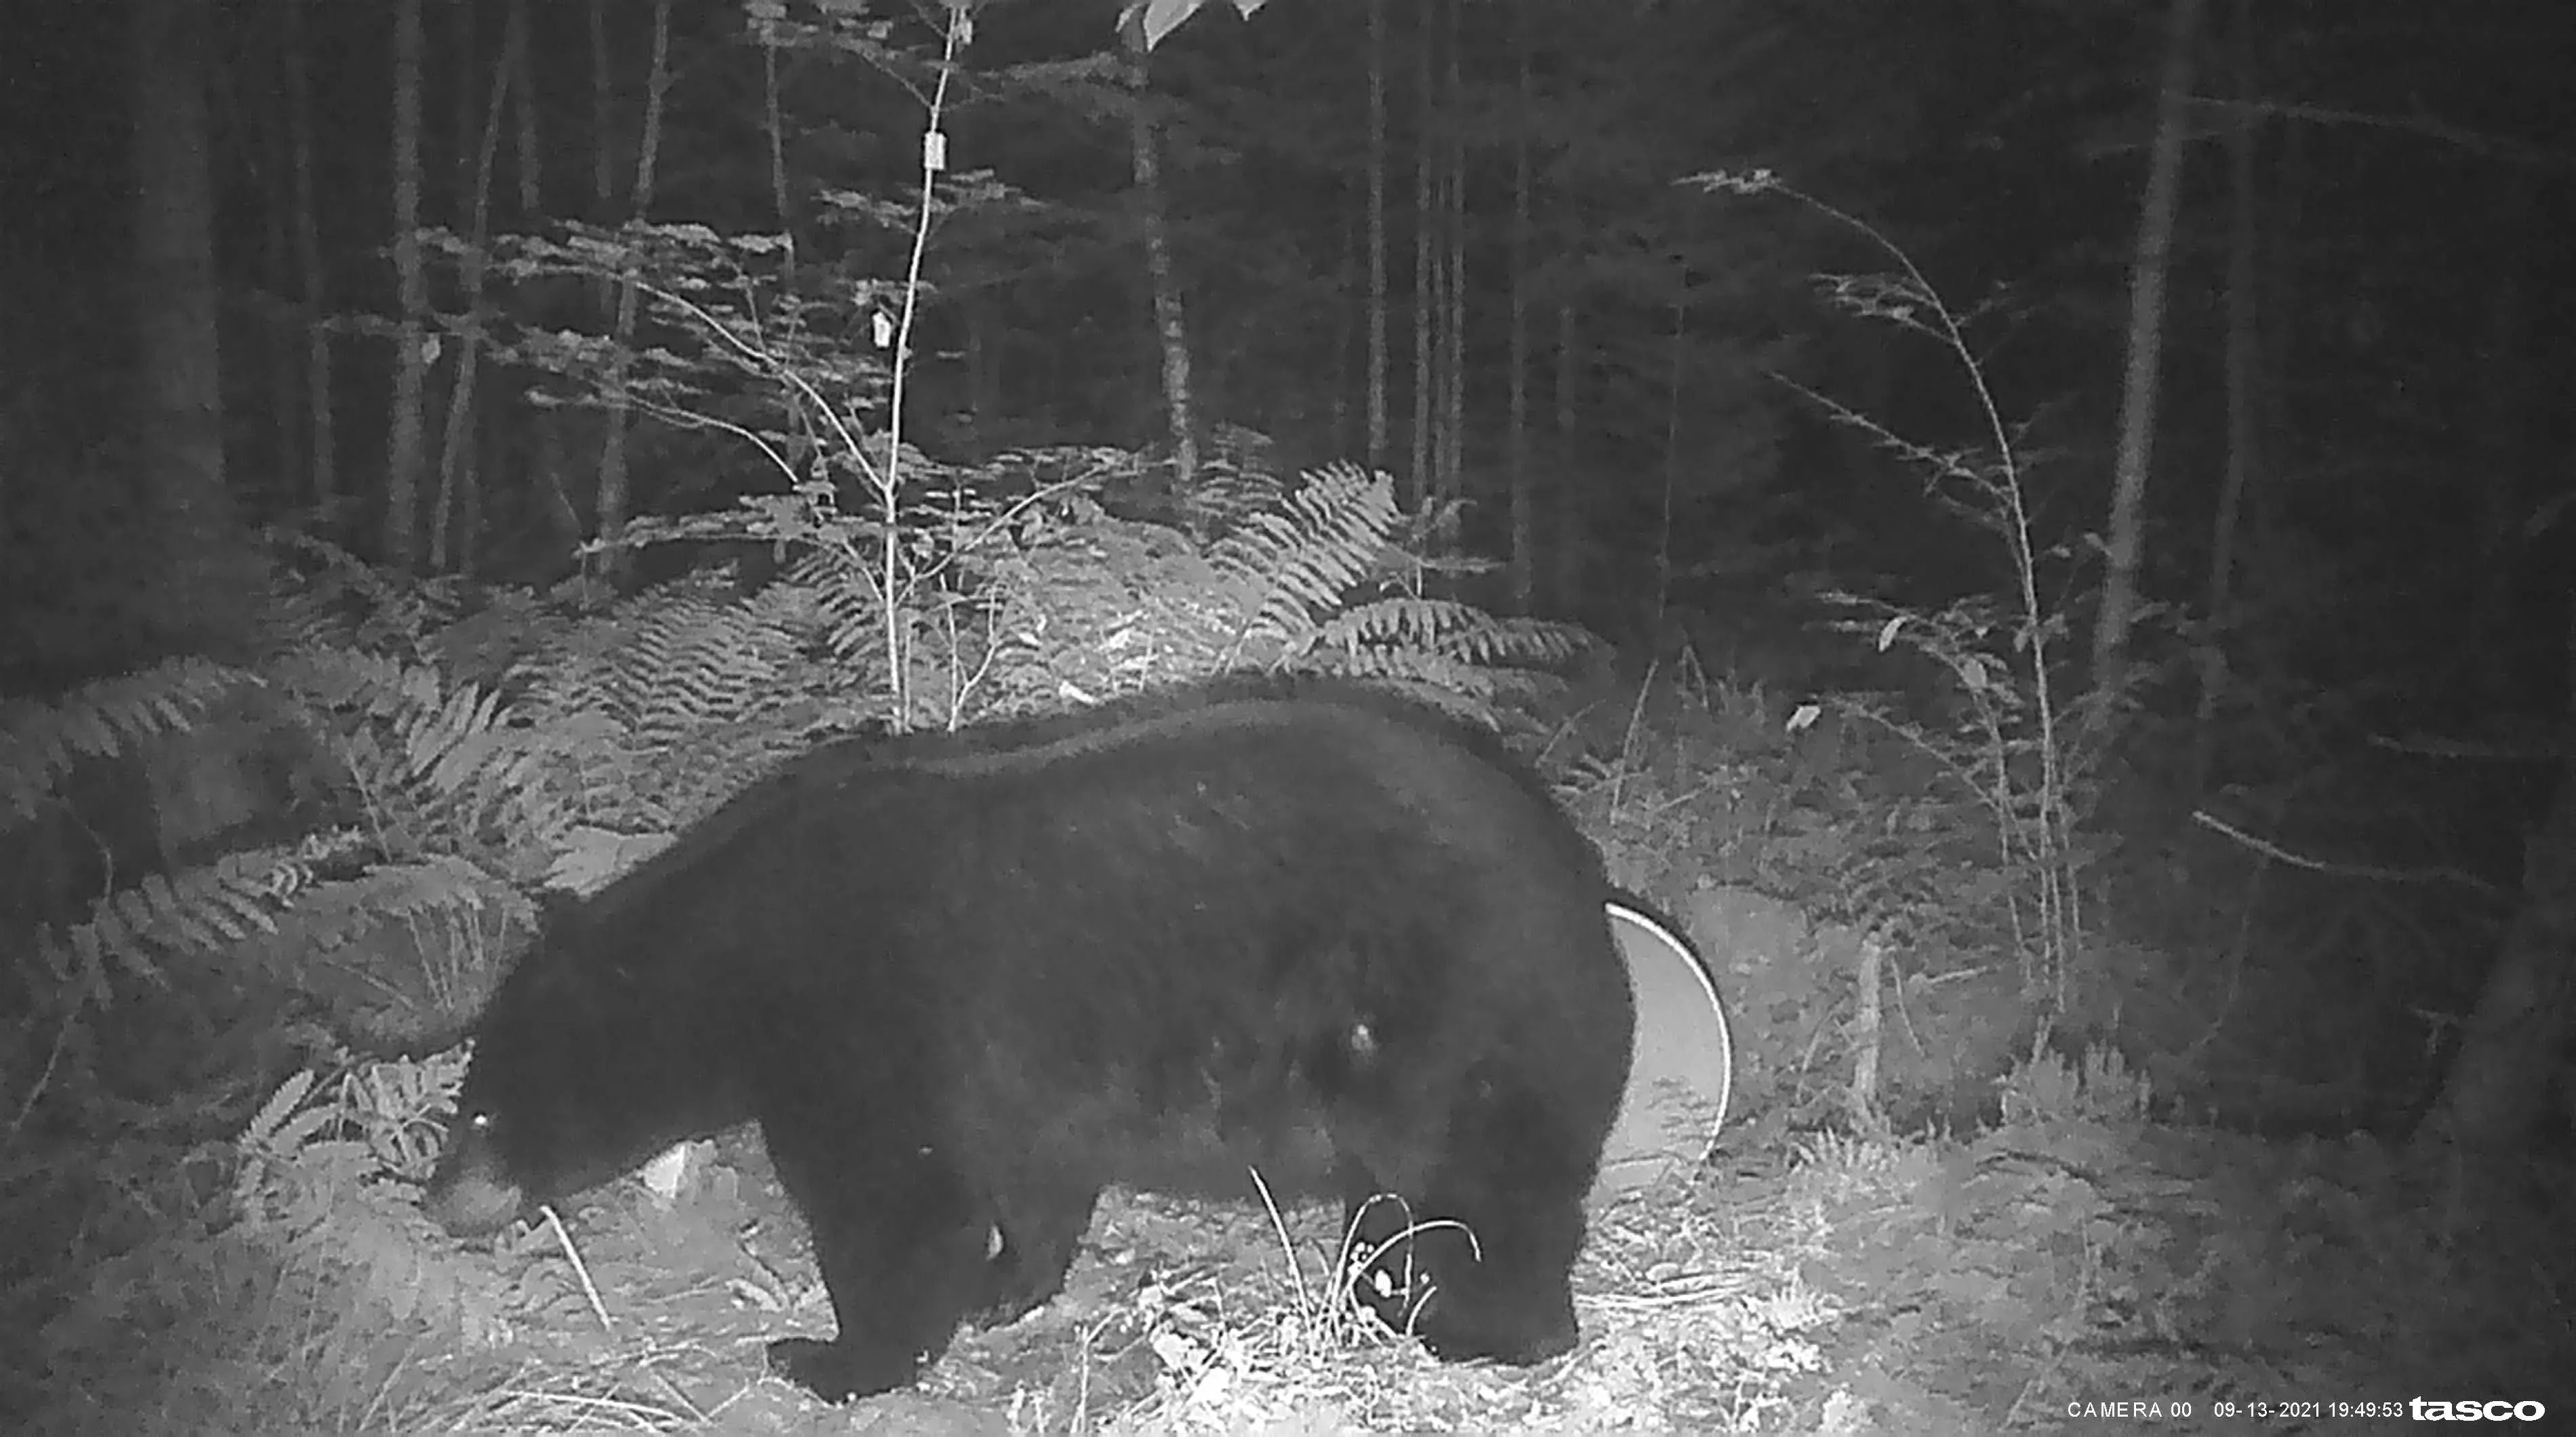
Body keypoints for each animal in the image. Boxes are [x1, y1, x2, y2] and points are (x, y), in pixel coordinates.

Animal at [426, 675, 1637, 1404]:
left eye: (477, 1109)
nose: (438, 1201)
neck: (732, 960)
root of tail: (1585, 888)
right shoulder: (1012, 1069)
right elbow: (1030, 1176)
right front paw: (1009, 1285)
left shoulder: (866, 1023)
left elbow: (897, 1211)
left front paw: (831, 1356)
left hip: (1448, 1024)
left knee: (1474, 1194)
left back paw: (1477, 1325)